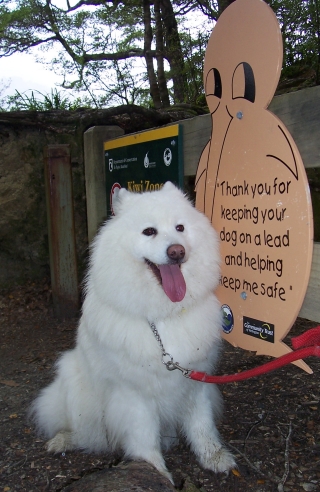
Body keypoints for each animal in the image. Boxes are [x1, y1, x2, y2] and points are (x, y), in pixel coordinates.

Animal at [30, 183, 235, 482]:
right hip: (74, 385)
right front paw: (155, 472)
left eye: (180, 228)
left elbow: (202, 424)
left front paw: (213, 457)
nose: (177, 251)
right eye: (149, 231)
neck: (162, 317)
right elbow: (144, 437)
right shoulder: (134, 394)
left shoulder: (195, 380)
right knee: (85, 432)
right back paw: (63, 440)